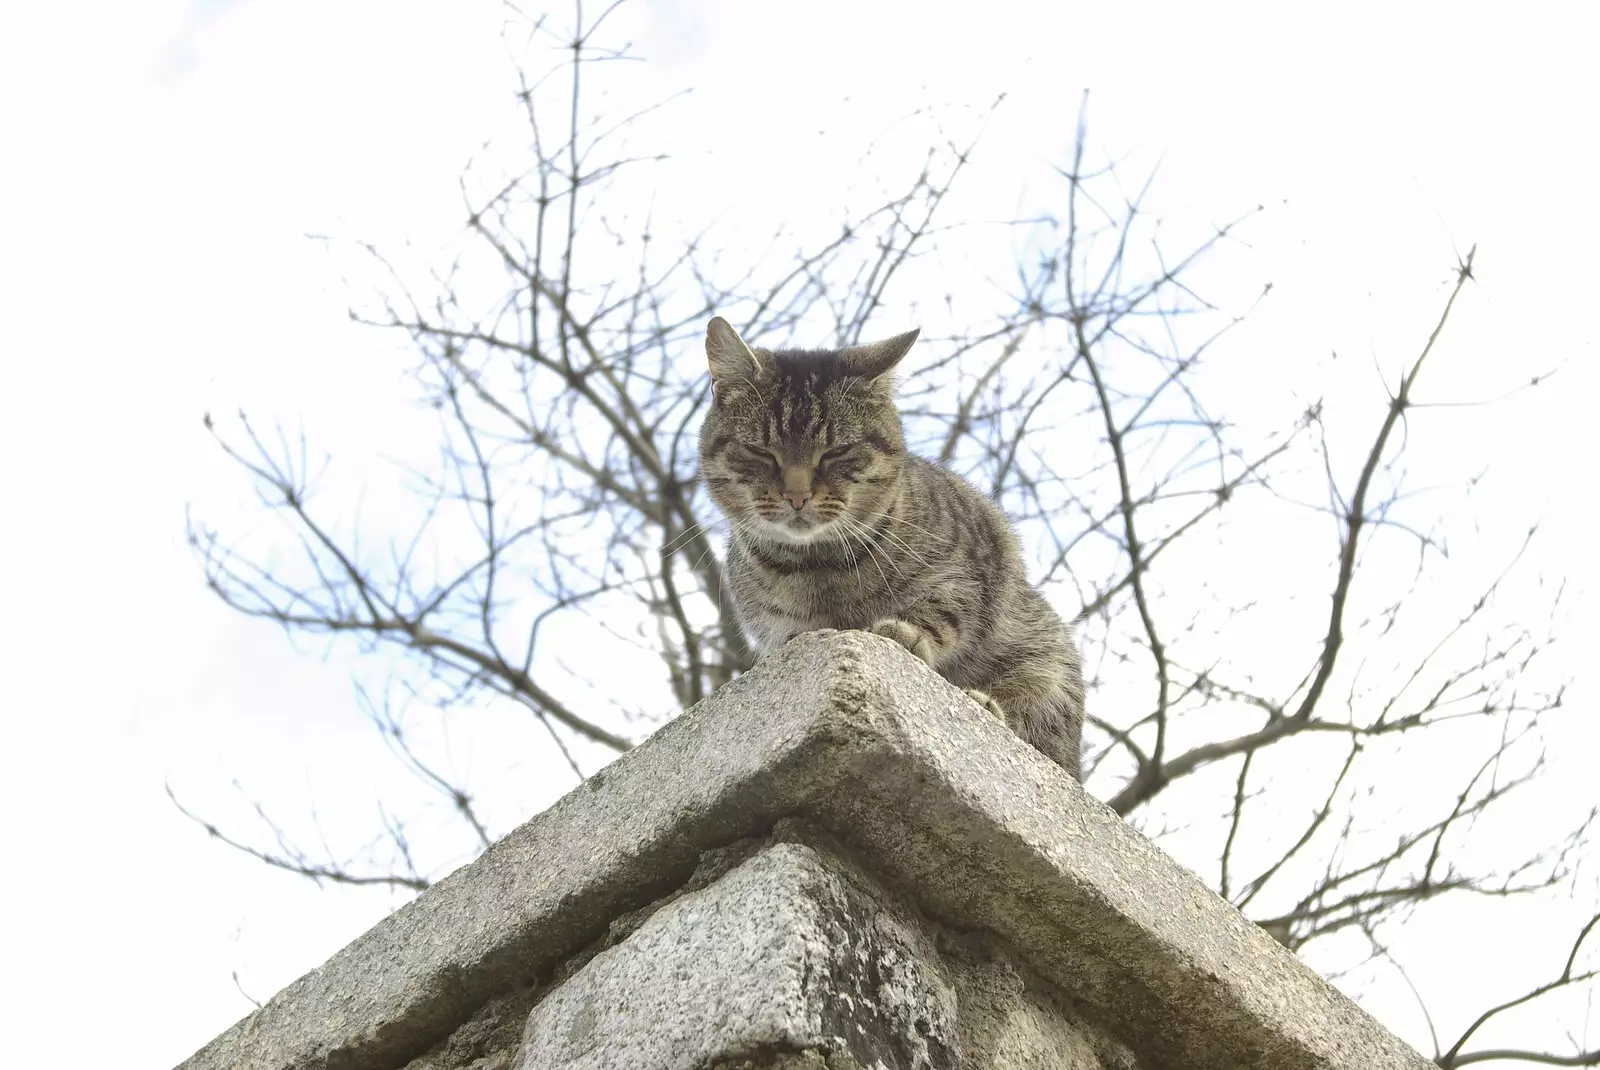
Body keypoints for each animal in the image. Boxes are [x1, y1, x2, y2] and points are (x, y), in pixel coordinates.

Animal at [694, 315, 1081, 777]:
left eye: (837, 451)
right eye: (760, 451)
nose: (797, 495)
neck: (816, 567)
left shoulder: (967, 574)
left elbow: (938, 609)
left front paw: (905, 631)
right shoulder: (777, 631)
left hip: (1047, 662)